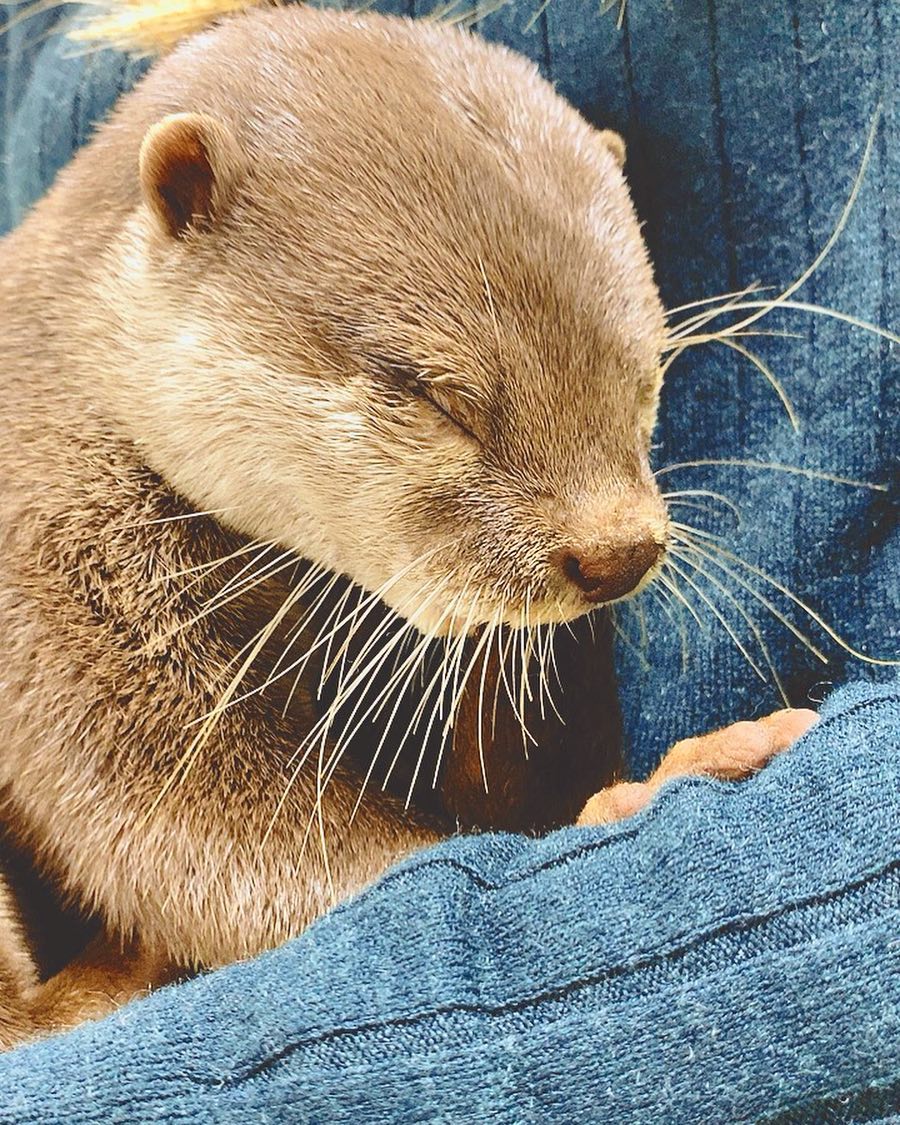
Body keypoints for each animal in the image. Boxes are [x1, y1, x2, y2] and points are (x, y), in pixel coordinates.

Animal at [0, 6, 814, 1044]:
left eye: (647, 374)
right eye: (440, 400)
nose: (618, 552)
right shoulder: (56, 592)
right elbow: (214, 853)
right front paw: (652, 789)